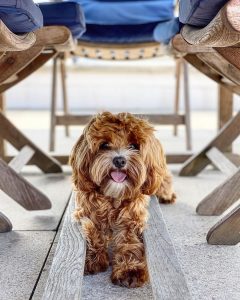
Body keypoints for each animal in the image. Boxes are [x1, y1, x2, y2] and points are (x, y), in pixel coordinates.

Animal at [69, 112, 174, 288]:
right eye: (104, 145)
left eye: (134, 146)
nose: (119, 160)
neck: (113, 196)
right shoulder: (87, 210)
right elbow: (92, 231)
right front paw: (93, 259)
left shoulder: (132, 217)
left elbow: (129, 241)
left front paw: (129, 269)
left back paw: (167, 194)